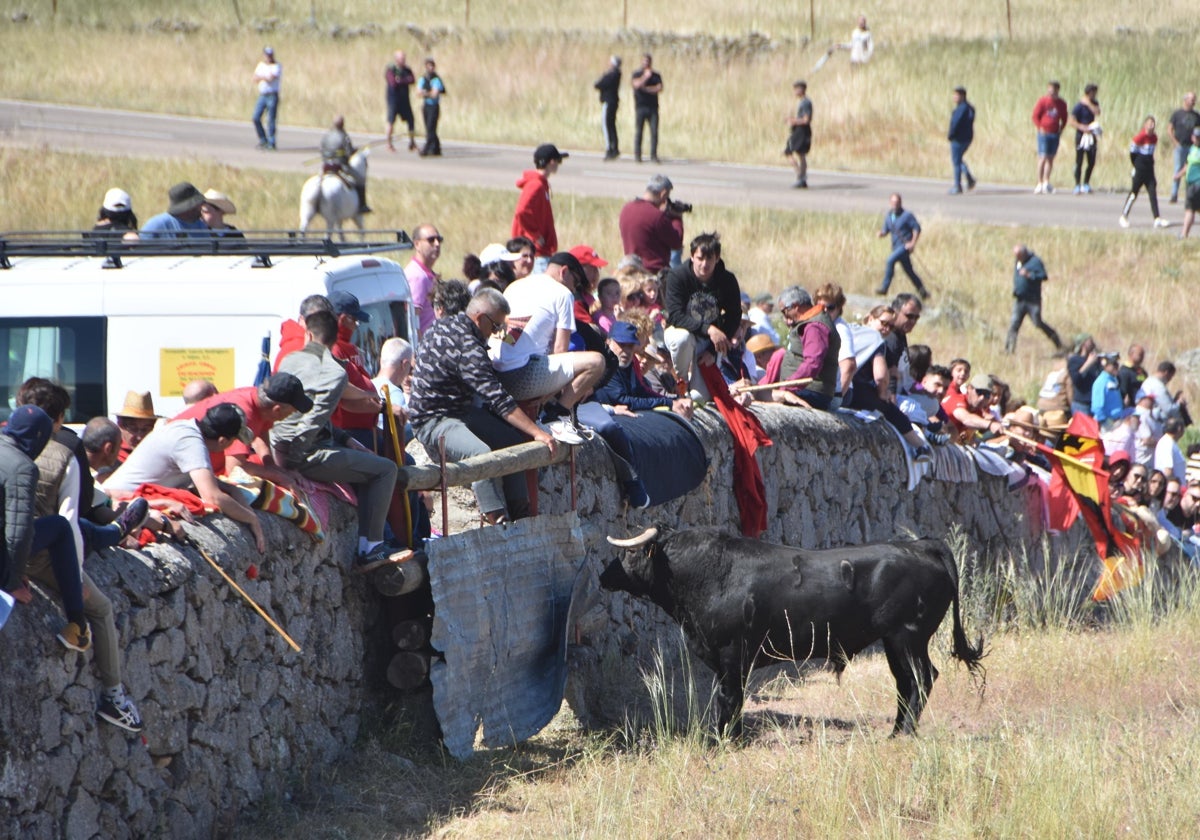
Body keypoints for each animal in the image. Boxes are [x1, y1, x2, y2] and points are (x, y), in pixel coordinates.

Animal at [600, 530, 984, 734]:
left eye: (630, 555)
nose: (603, 575)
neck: (708, 573)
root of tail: (921, 546)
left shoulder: (731, 654)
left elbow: (729, 697)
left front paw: (723, 738)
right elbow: (731, 698)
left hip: (907, 637)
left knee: (920, 678)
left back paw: (903, 732)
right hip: (896, 641)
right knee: (907, 682)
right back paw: (894, 732)